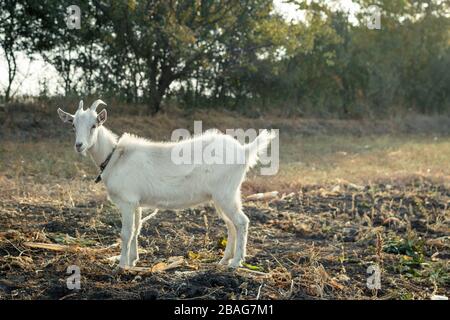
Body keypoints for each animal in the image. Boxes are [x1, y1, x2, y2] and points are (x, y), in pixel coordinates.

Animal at [58, 100, 276, 270]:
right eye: (73, 125)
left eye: (94, 125)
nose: (79, 145)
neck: (115, 156)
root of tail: (245, 150)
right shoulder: (136, 202)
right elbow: (136, 229)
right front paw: (133, 260)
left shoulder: (127, 201)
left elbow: (126, 233)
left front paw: (121, 265)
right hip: (223, 196)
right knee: (231, 225)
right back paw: (224, 260)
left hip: (226, 193)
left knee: (242, 222)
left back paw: (236, 262)